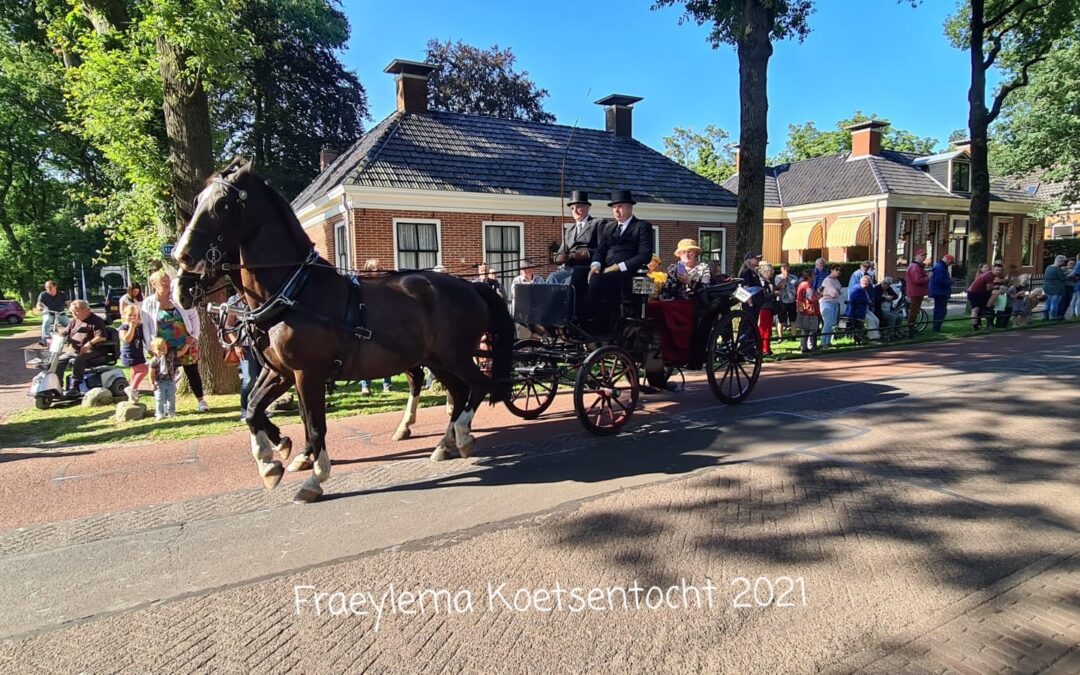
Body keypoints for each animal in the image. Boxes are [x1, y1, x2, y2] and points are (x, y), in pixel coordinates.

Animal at [172, 160, 514, 503]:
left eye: (223, 204)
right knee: (457, 392)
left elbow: (314, 424)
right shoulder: (280, 371)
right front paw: (273, 460)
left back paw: (461, 436)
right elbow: (253, 409)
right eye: (198, 201)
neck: (294, 292)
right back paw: (444, 444)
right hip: (436, 360)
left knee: (477, 386)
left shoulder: (307, 373)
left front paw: (313, 477)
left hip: (454, 355)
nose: (181, 258)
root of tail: (473, 286)